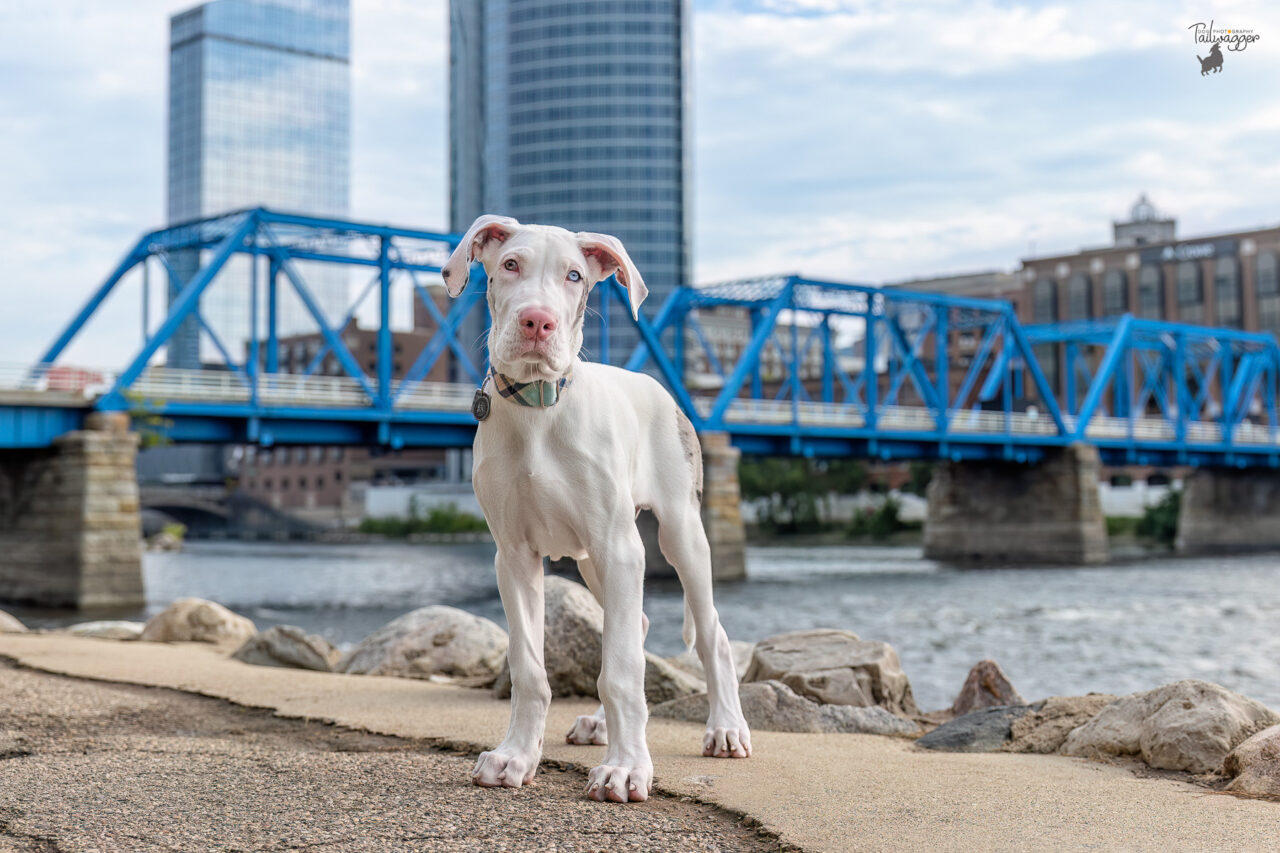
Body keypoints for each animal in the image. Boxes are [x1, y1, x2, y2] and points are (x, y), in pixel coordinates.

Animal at [442, 212, 747, 799]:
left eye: (575, 276)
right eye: (509, 264)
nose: (537, 322)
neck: (538, 411)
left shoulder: (621, 547)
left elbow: (621, 670)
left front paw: (626, 767)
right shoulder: (513, 555)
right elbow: (530, 668)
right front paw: (516, 756)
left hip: (676, 535)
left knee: (712, 634)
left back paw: (725, 728)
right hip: (593, 559)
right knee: (639, 623)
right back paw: (601, 727)